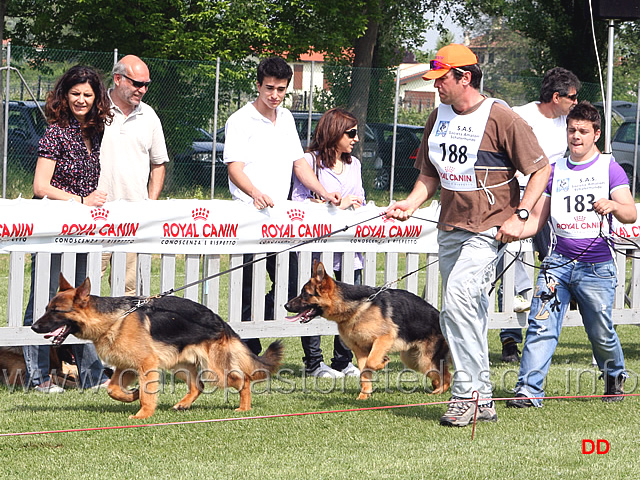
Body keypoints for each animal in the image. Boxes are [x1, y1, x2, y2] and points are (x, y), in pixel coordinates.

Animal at [31, 276, 284, 418]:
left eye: (56, 311)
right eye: (46, 308)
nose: (33, 326)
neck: (114, 319)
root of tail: (220, 321)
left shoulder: (146, 365)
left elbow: (146, 395)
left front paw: (143, 415)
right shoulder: (126, 367)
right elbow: (112, 389)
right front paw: (131, 395)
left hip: (215, 371)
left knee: (243, 380)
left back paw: (244, 409)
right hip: (180, 365)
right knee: (198, 386)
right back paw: (183, 404)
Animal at [284, 260, 450, 400]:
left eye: (305, 294)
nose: (286, 305)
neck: (356, 308)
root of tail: (441, 317)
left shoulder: (383, 338)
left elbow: (371, 362)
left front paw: (383, 362)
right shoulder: (360, 350)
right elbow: (364, 371)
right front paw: (364, 395)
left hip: (424, 360)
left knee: (446, 375)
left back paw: (438, 392)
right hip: (413, 359)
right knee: (440, 373)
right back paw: (436, 387)